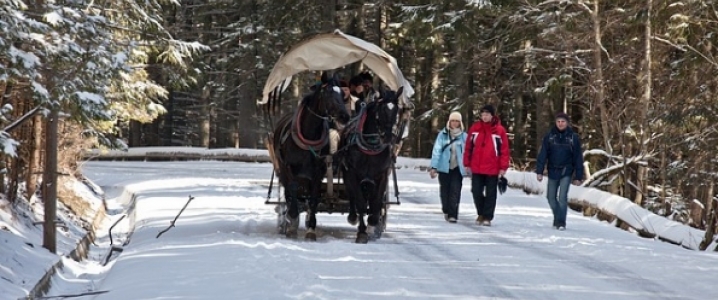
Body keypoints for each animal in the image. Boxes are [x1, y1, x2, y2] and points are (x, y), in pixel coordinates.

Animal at [272, 74, 350, 240]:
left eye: (342, 94)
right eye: (327, 93)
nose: (345, 116)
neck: (309, 137)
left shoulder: (317, 173)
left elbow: (313, 198)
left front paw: (311, 229)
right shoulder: (290, 169)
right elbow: (292, 193)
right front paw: (292, 222)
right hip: (283, 171)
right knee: (289, 194)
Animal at [338, 86, 402, 244]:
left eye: (397, 110)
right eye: (381, 110)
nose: (388, 137)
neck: (371, 146)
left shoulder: (381, 175)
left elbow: (377, 201)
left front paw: (373, 221)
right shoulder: (353, 173)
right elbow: (360, 202)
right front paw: (361, 232)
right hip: (347, 174)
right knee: (352, 196)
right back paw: (353, 217)